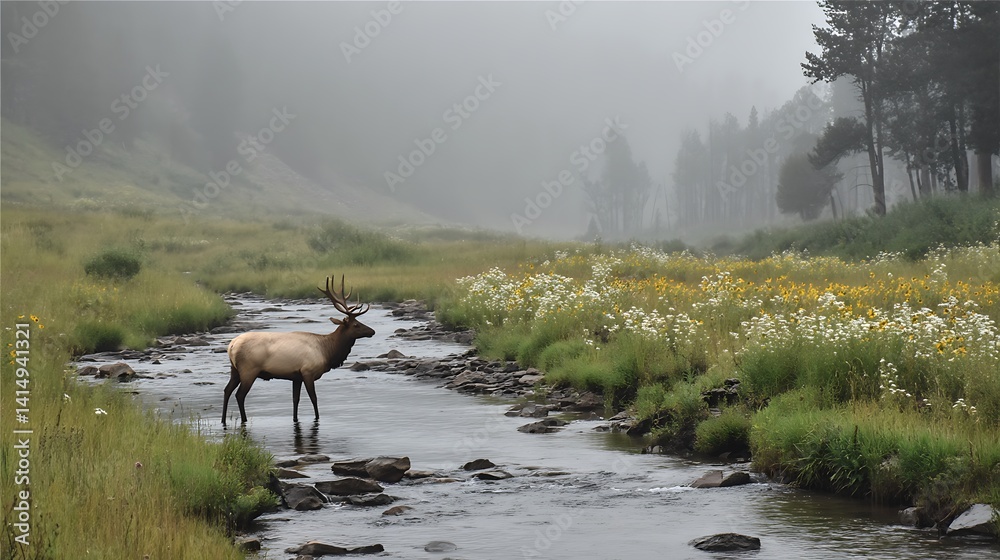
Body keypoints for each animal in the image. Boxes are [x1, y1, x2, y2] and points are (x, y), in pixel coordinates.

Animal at [222, 275, 375, 425]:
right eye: (356, 325)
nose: (372, 331)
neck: (327, 351)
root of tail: (232, 345)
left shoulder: (296, 376)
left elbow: (295, 399)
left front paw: (295, 419)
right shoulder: (308, 372)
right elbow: (314, 398)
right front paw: (317, 418)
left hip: (235, 370)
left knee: (227, 390)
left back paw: (223, 420)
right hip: (249, 370)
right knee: (240, 395)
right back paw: (244, 419)